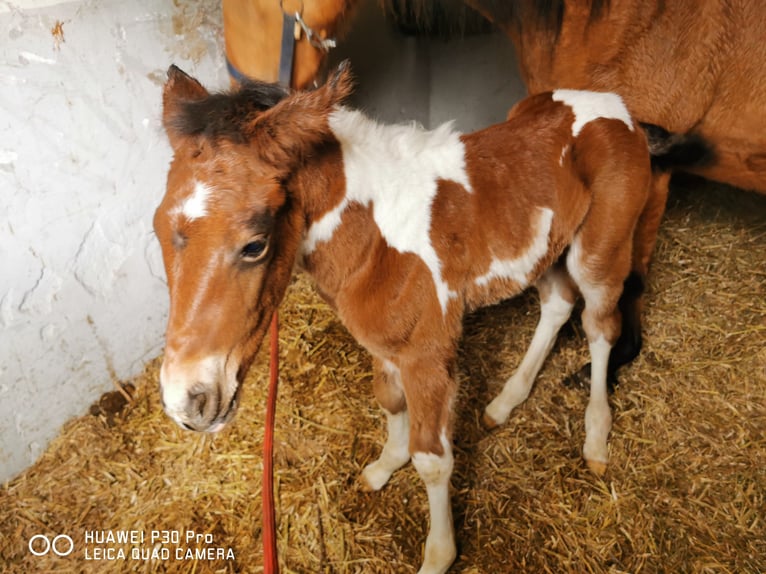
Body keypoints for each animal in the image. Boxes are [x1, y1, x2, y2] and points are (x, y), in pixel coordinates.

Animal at [154, 63, 709, 573]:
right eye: (158, 228)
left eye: (255, 244)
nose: (188, 401)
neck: (372, 232)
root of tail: (623, 113)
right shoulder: (384, 342)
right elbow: (388, 400)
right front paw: (384, 465)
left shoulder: (428, 353)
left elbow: (433, 460)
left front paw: (439, 554)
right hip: (547, 246)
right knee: (557, 305)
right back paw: (504, 402)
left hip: (600, 249)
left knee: (600, 325)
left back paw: (595, 437)